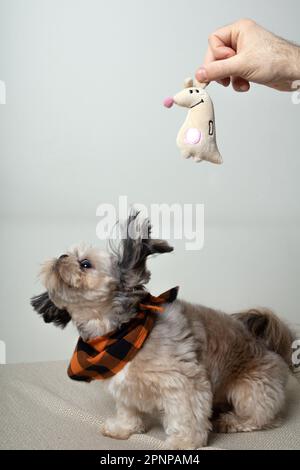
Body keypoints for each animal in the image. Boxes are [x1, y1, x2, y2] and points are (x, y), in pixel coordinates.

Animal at [30, 214, 292, 452]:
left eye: (85, 263)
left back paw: (230, 421)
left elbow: (187, 417)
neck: (119, 333)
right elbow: (127, 409)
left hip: (249, 391)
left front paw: (184, 442)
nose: (61, 257)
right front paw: (124, 428)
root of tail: (268, 345)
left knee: (263, 418)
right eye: (66, 253)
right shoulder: (123, 385)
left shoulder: (185, 383)